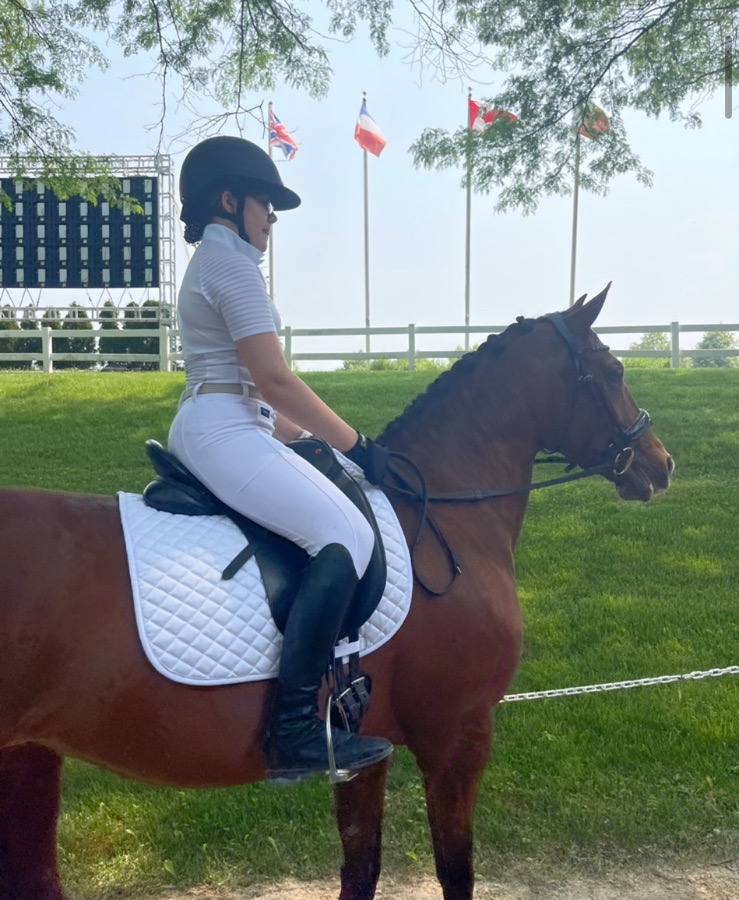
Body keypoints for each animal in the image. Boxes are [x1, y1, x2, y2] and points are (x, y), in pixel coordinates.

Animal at [0, 287, 673, 900]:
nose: (660, 464)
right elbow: (454, 870)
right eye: (615, 372)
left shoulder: (363, 748)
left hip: (30, 755)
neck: (442, 513)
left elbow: (361, 867)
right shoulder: (457, 734)